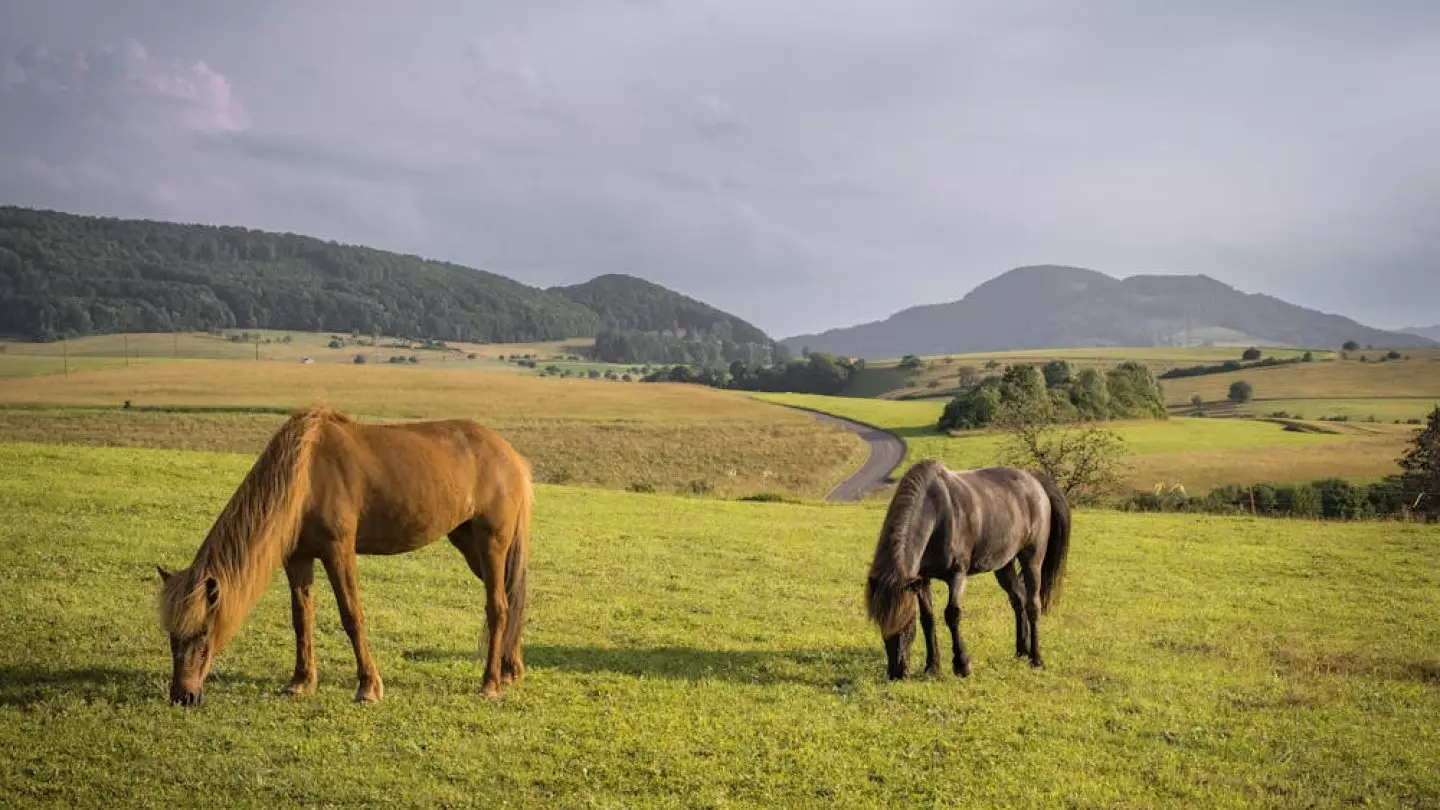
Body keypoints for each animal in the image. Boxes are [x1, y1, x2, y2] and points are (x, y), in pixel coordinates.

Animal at [154, 406, 535, 703]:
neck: (305, 474)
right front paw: (301, 681)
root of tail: (511, 456)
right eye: (172, 635)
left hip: (491, 543)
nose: (183, 696)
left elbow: (351, 614)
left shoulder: (338, 550)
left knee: (498, 607)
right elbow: (301, 618)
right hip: (469, 543)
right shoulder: (297, 558)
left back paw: (490, 682)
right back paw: (510, 669)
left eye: (202, 631)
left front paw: (368, 686)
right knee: (510, 598)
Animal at [864, 458, 1071, 677]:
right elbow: (928, 618)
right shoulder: (921, 579)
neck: (937, 513)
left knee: (1033, 605)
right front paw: (932, 666)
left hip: (1032, 560)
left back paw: (1036, 658)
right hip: (1004, 565)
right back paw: (1022, 651)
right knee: (1019, 600)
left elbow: (952, 614)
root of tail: (1034, 479)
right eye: (880, 623)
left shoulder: (957, 574)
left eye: (905, 622)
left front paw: (962, 664)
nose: (896, 673)